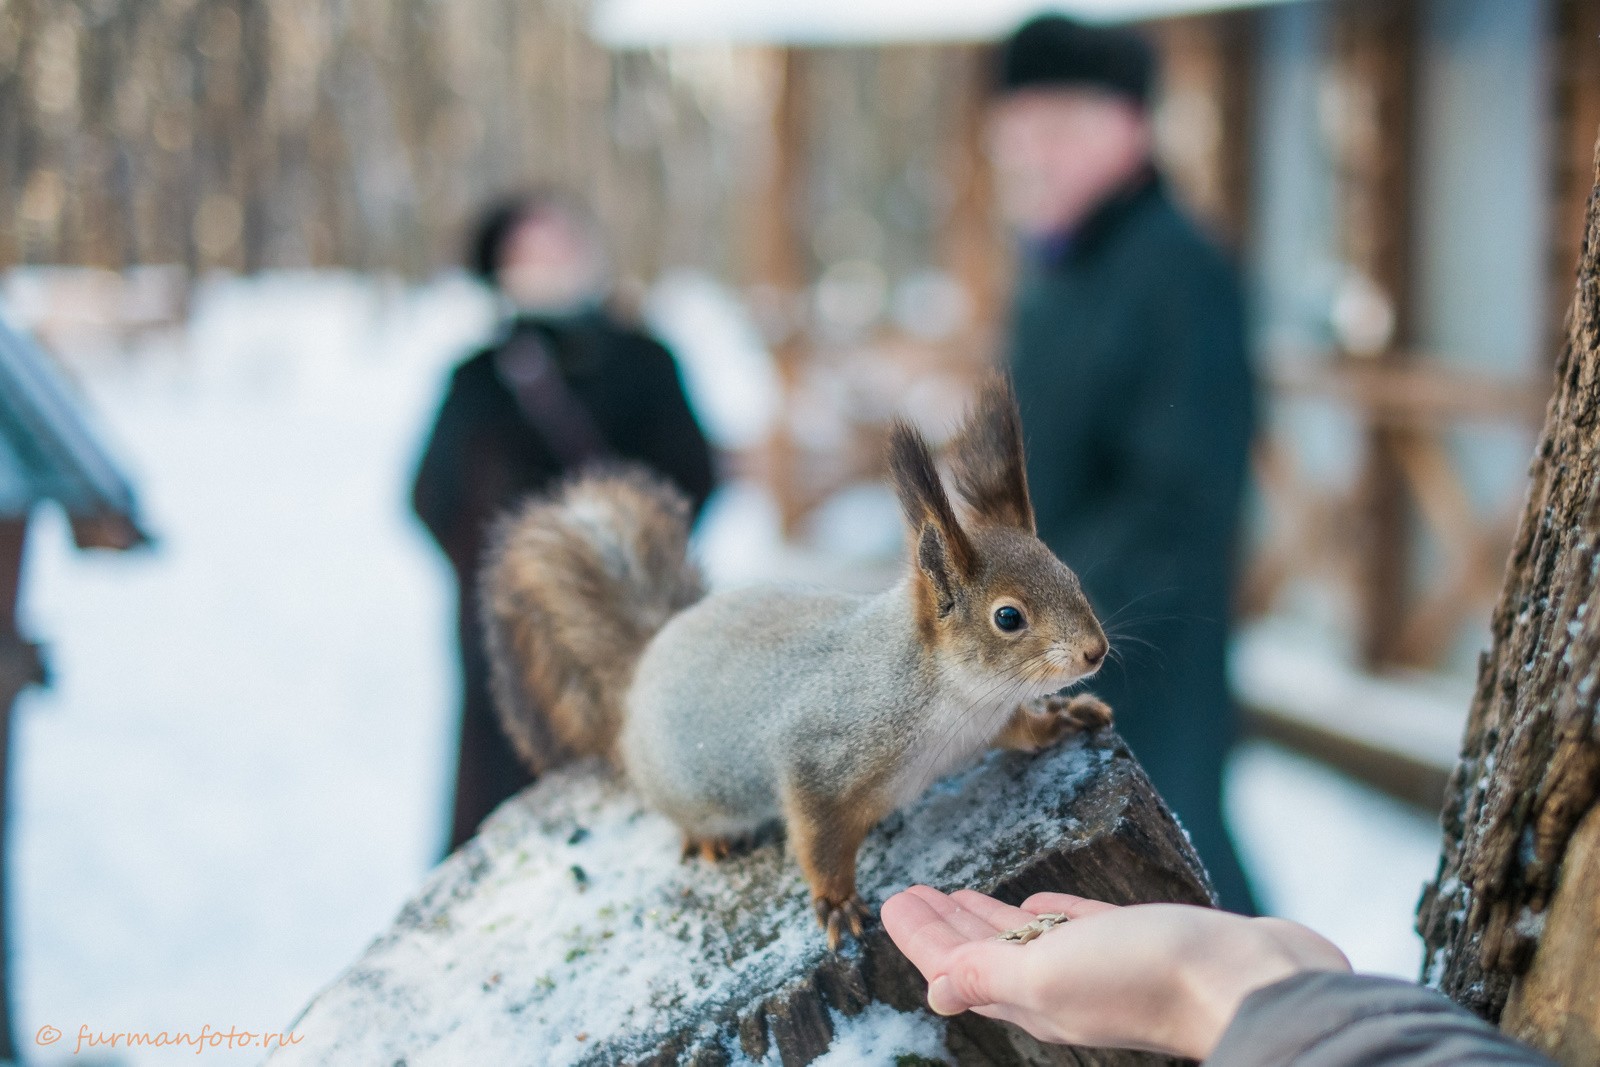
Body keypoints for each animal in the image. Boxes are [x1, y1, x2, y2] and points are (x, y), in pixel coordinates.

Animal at [483, 375, 1113, 940]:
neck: (955, 696)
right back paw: (710, 837)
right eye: (1008, 618)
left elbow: (1021, 731)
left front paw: (1061, 717)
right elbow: (816, 837)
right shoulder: (818, 759)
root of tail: (648, 657)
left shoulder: (988, 721)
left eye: (1071, 577)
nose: (1095, 651)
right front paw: (835, 902)